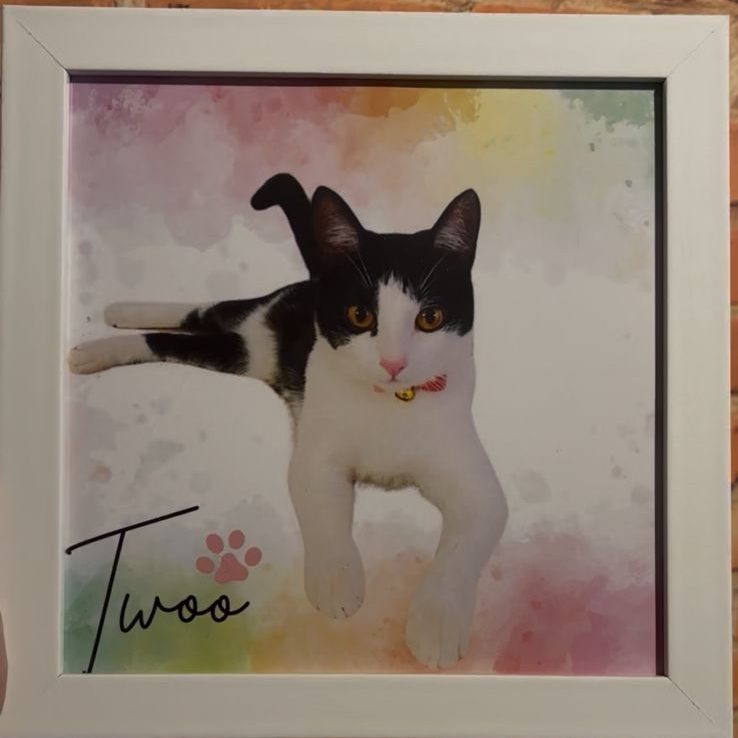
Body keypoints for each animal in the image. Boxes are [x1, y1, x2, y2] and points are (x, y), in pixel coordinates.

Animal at [68, 174, 508, 669]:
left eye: (430, 318)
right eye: (360, 315)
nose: (393, 363)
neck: (390, 402)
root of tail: (313, 281)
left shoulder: (474, 483)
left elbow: (462, 547)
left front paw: (437, 623)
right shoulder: (316, 460)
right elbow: (324, 513)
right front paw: (337, 580)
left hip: (246, 350)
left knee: (203, 320)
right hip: (252, 340)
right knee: (203, 313)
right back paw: (106, 331)